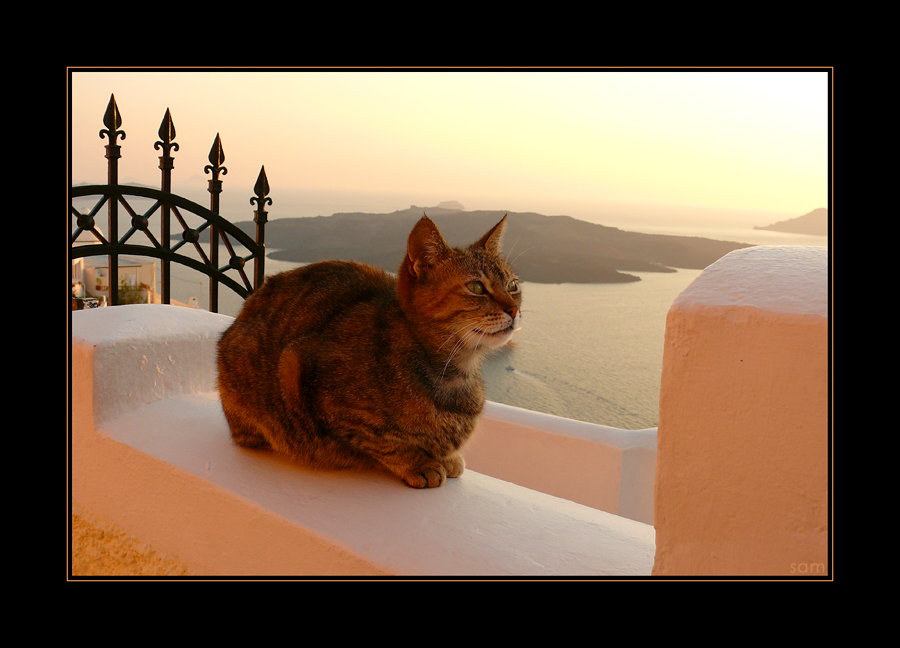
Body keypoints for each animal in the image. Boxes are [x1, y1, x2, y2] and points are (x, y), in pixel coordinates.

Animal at [216, 215, 520, 488]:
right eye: (476, 287)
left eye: (513, 286)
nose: (514, 309)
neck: (455, 371)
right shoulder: (307, 378)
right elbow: (384, 443)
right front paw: (419, 463)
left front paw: (446, 458)